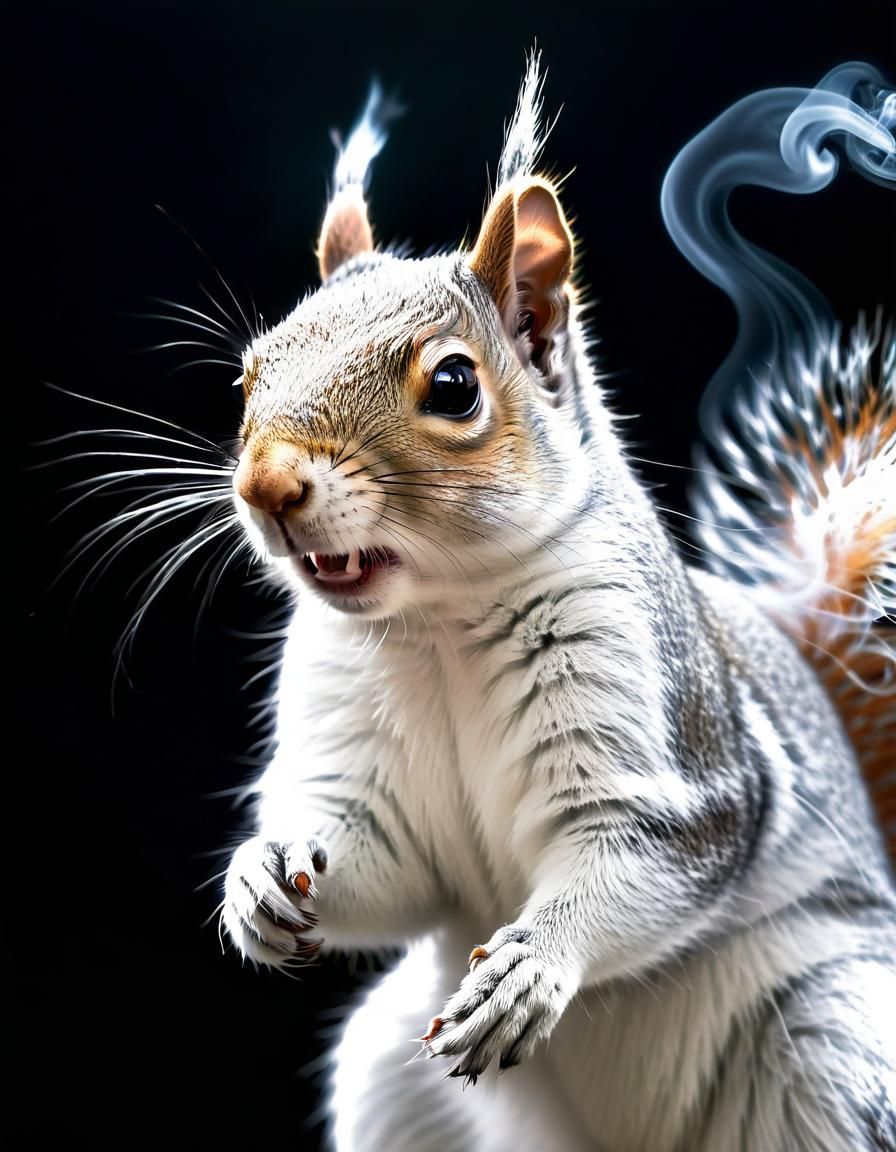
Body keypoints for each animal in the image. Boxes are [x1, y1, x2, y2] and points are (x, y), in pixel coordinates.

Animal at [221, 57, 896, 1151]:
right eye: (248, 375)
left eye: (454, 385)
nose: (265, 486)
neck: (438, 623)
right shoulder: (357, 740)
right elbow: (377, 857)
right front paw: (257, 874)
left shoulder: (669, 751)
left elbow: (641, 859)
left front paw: (536, 963)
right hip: (389, 1081)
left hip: (837, 1047)